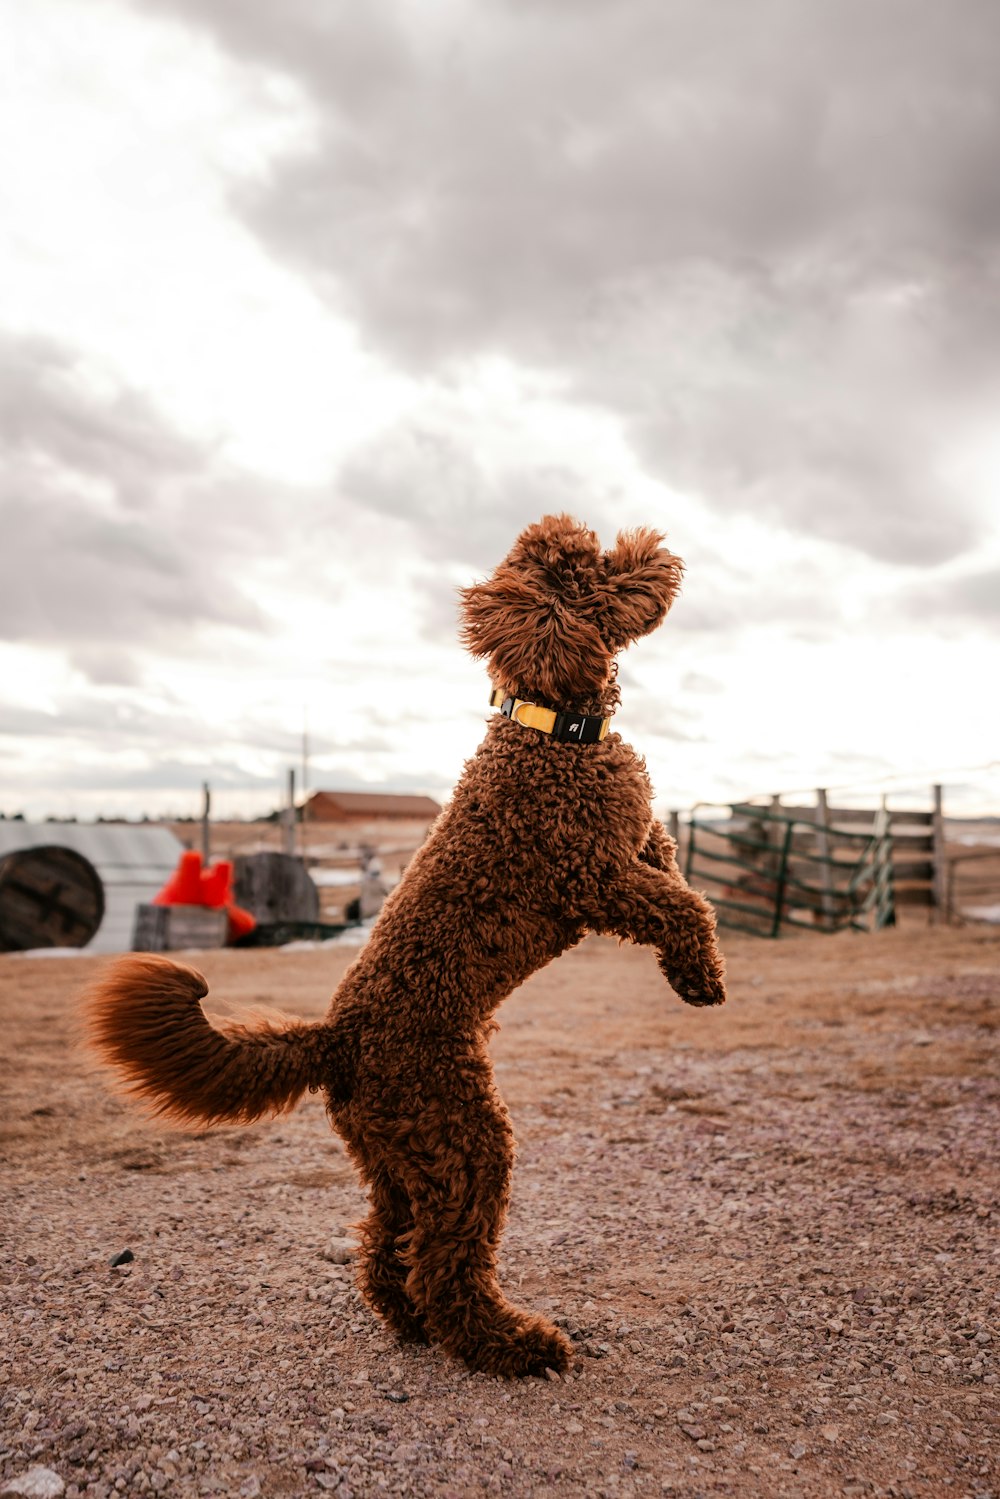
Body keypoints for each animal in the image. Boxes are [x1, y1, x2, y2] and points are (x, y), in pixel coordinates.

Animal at [83, 518, 728, 1379]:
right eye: (596, 564)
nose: (655, 545)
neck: (550, 728)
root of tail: (337, 1037)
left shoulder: (637, 840)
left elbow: (676, 869)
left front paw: (697, 968)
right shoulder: (589, 871)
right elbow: (679, 902)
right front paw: (700, 978)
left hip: (397, 1155)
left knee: (386, 1247)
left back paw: (411, 1321)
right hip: (464, 1139)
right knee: (445, 1261)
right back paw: (510, 1343)